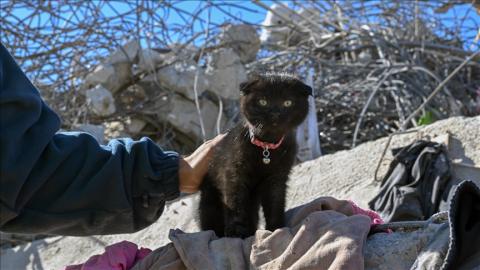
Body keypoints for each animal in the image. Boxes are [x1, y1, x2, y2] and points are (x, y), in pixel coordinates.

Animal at [199, 73, 312, 237]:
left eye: (287, 103)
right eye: (263, 102)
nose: (275, 113)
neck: (267, 147)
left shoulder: (277, 178)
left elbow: (275, 204)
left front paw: (275, 229)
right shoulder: (234, 175)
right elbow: (236, 205)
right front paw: (236, 234)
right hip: (210, 202)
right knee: (210, 224)